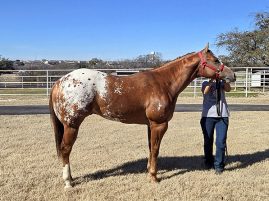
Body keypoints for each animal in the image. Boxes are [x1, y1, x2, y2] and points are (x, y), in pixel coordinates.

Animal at [48, 44, 234, 188]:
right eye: (215, 60)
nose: (233, 75)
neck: (164, 83)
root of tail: (59, 82)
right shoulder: (159, 124)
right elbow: (156, 149)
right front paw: (153, 177)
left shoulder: (149, 125)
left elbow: (151, 148)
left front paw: (149, 171)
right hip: (72, 125)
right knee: (65, 149)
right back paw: (68, 182)